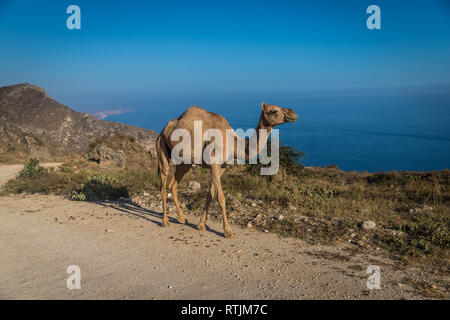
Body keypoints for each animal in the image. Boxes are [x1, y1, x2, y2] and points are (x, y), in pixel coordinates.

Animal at [156, 103, 298, 238]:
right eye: (273, 110)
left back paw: (182, 218)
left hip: (185, 162)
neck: (233, 143)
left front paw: (201, 225)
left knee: (173, 185)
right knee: (163, 182)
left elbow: (210, 194)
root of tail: (164, 129)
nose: (293, 113)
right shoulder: (214, 163)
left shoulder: (222, 167)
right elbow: (221, 197)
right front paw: (228, 231)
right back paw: (165, 221)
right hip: (162, 146)